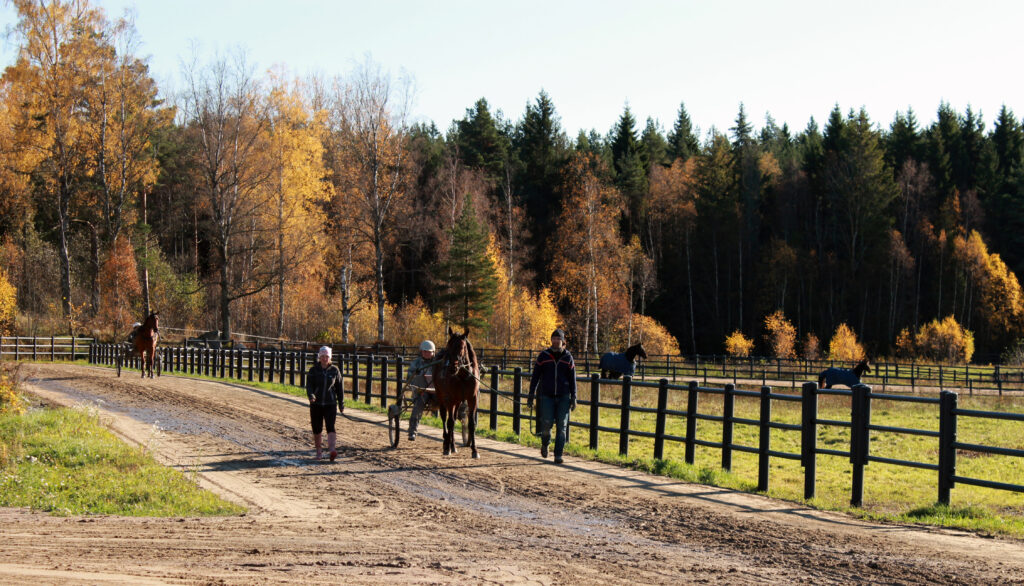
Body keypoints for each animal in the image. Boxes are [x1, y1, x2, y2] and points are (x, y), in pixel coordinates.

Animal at [432, 327, 479, 461]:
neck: (462, 376)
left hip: (457, 402)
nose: (452, 367)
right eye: (449, 345)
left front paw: (474, 450)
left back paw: (452, 445)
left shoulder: (472, 399)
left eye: (462, 346)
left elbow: (471, 424)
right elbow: (450, 422)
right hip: (441, 396)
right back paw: (446, 444)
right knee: (445, 419)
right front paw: (446, 447)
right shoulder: (449, 399)